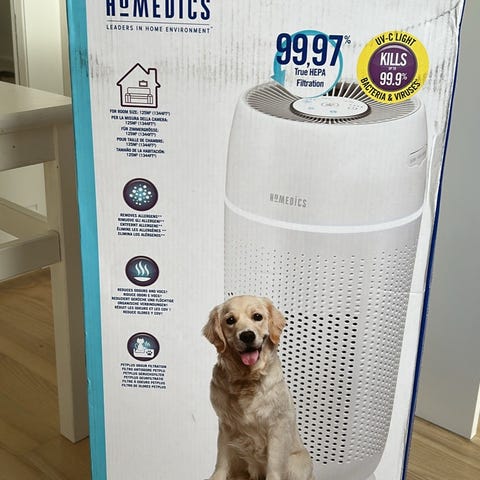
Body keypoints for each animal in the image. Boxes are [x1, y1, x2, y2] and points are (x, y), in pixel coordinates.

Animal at [203, 295, 313, 480]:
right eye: (230, 320)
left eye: (257, 316)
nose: (247, 335)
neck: (246, 379)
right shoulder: (226, 424)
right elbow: (222, 459)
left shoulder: (277, 426)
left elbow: (274, 465)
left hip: (296, 463)